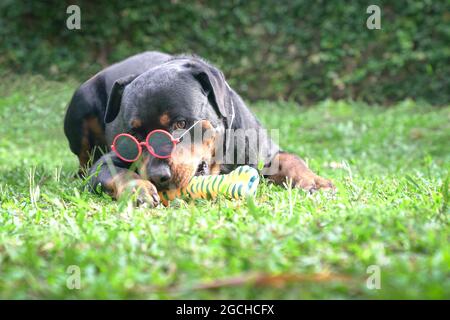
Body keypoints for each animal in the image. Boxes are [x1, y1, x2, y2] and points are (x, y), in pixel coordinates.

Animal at [63, 51, 332, 206]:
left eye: (180, 124)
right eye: (135, 135)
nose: (158, 176)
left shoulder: (264, 150)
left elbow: (291, 159)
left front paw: (314, 181)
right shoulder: (106, 162)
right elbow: (114, 172)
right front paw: (138, 189)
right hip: (81, 102)